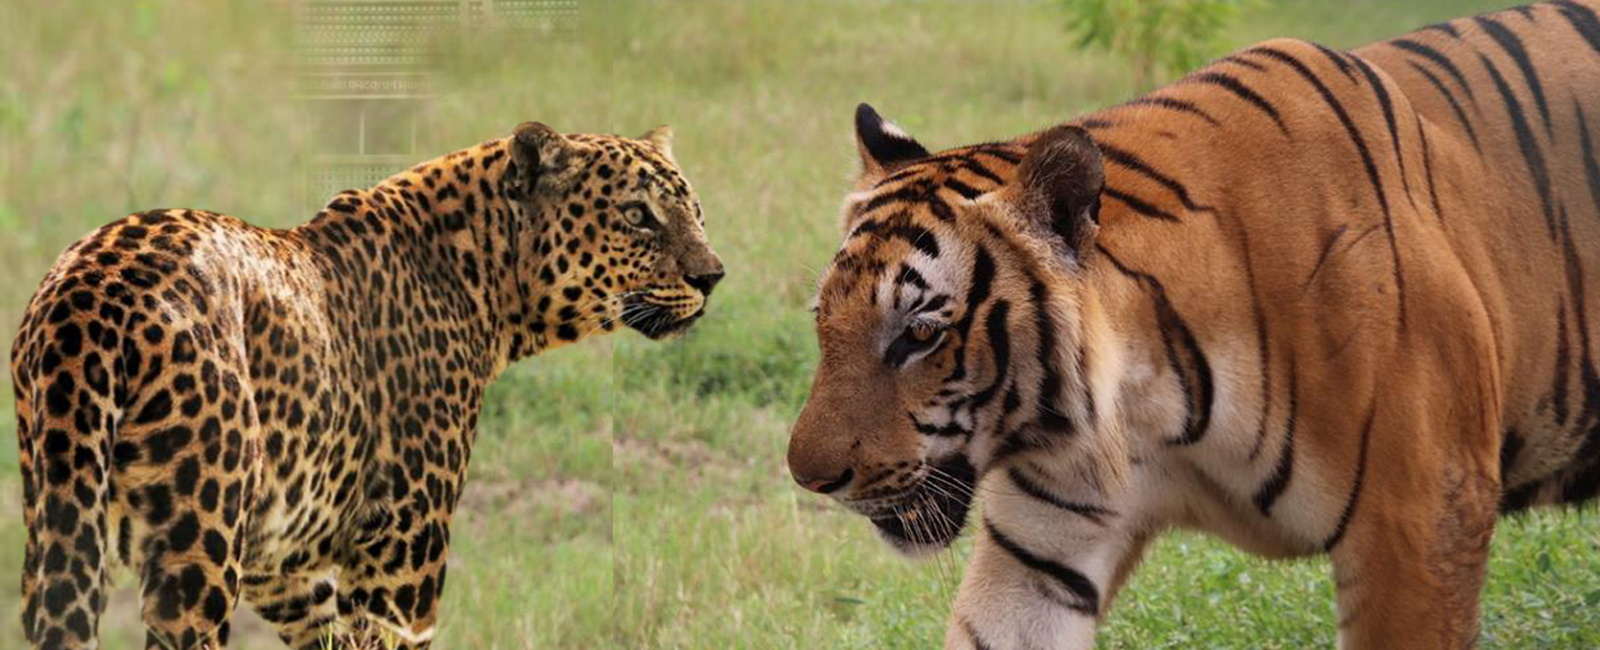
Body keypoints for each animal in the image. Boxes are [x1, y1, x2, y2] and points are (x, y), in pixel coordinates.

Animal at [786, 1, 1600, 648]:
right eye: (825, 323)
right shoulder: (1040, 547)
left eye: (920, 335)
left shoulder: (1420, 524)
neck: (1147, 404)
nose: (809, 478)